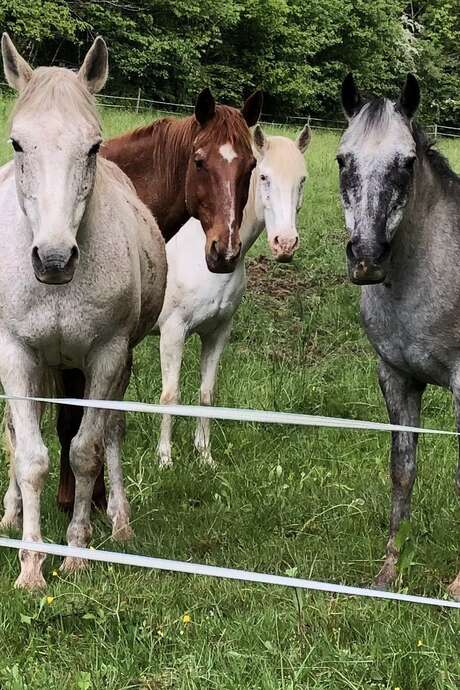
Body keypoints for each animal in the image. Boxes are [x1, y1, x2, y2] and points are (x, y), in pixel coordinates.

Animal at [0, 35, 167, 589]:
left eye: (92, 146)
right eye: (17, 143)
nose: (54, 259)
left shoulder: (106, 357)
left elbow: (86, 450)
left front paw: (75, 552)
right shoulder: (16, 356)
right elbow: (30, 457)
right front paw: (31, 567)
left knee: (110, 432)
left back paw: (118, 521)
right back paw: (10, 515)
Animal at [154, 124, 310, 468]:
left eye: (302, 179)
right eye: (263, 176)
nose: (285, 243)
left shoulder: (217, 333)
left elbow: (207, 393)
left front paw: (204, 456)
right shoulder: (172, 332)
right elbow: (170, 395)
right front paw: (165, 460)